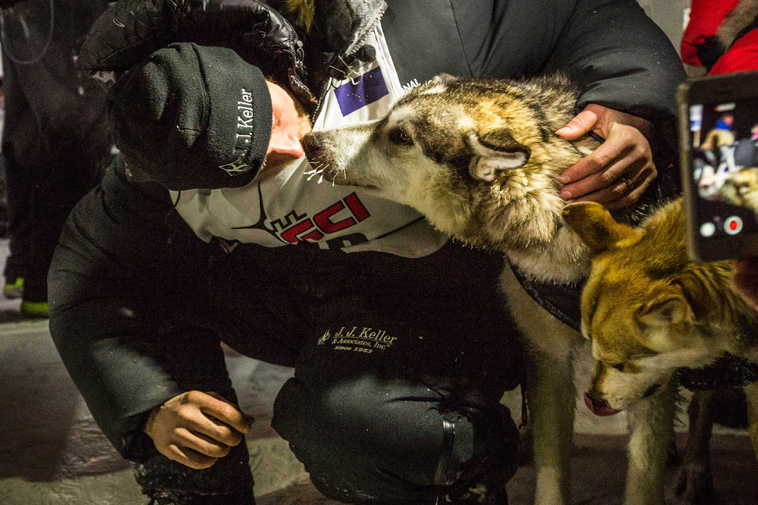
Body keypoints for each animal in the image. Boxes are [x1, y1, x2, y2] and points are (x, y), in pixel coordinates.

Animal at [304, 74, 676, 504]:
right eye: (386, 118)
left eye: (399, 136)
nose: (309, 141)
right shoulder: (546, 356)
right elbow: (551, 469)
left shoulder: (652, 374)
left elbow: (644, 475)